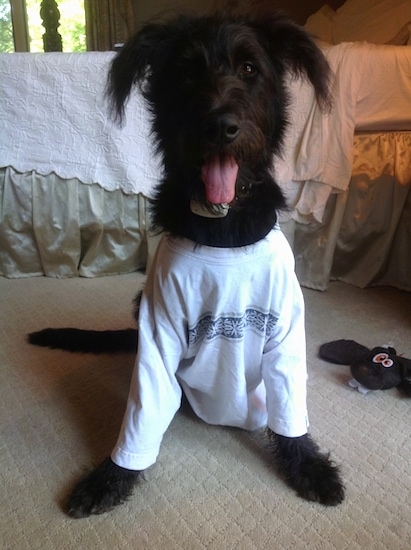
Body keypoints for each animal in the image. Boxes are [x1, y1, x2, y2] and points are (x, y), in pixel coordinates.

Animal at [29, 10, 344, 520]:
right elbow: (141, 413)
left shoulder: (285, 327)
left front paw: (309, 465)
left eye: (250, 69)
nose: (220, 126)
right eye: (188, 71)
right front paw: (112, 475)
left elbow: (288, 405)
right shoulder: (158, 325)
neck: (222, 225)